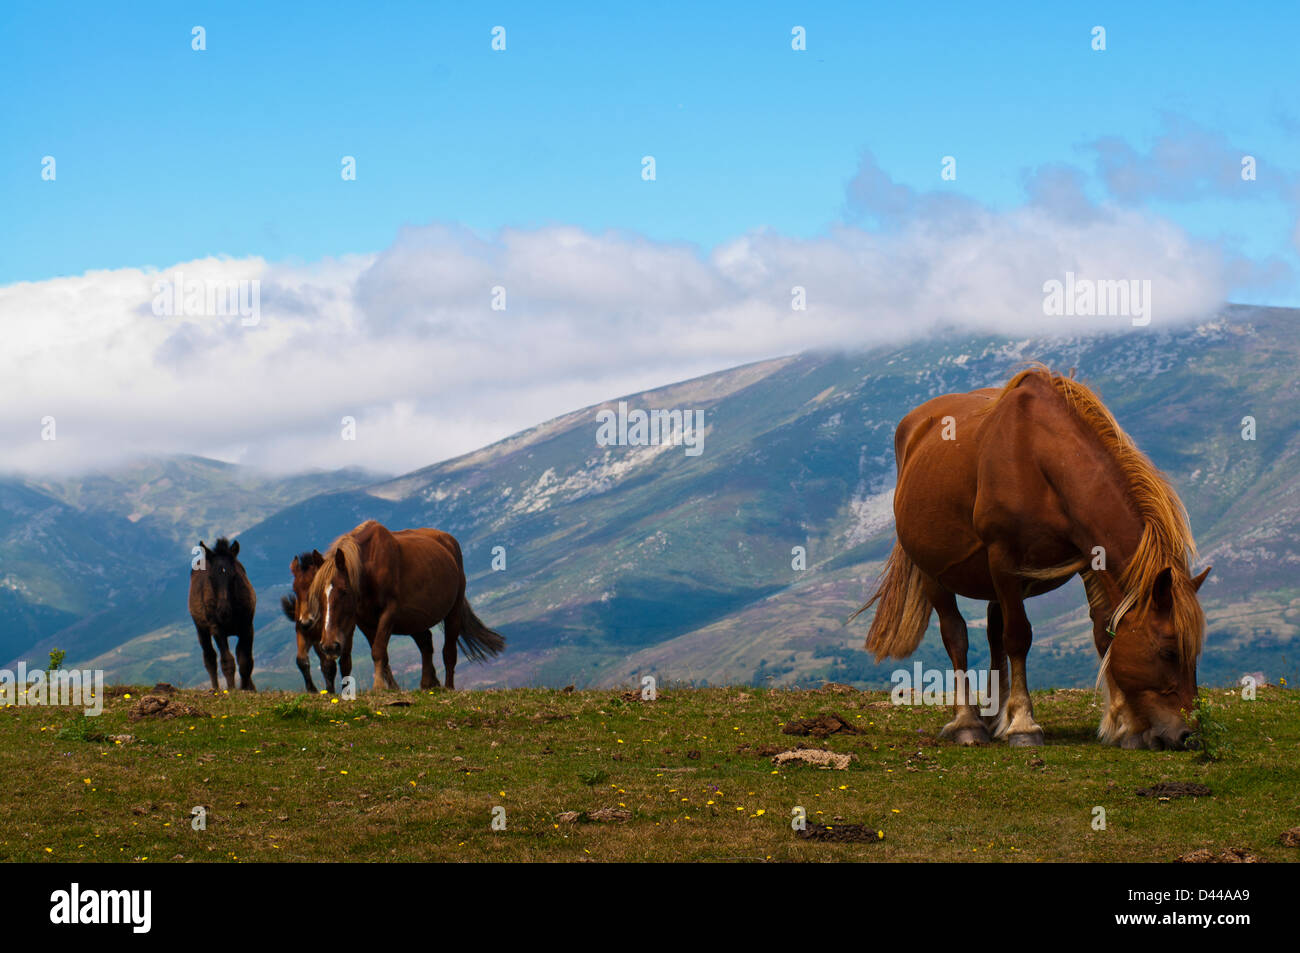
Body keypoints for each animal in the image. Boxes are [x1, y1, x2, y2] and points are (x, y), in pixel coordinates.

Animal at [188, 535, 256, 691]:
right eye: (211, 577)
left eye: (234, 576)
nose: (223, 611)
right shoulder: (217, 629)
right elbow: (227, 661)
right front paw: (231, 689)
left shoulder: (247, 627)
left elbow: (246, 661)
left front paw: (247, 689)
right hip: (201, 629)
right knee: (209, 657)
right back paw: (215, 688)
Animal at [304, 520, 506, 691]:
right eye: (319, 596)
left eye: (344, 591)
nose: (329, 646)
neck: (371, 567)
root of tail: (449, 543)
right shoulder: (363, 621)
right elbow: (379, 654)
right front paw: (392, 688)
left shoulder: (389, 613)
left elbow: (378, 650)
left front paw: (379, 687)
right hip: (415, 621)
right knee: (426, 644)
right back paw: (427, 683)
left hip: (453, 613)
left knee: (448, 652)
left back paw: (448, 687)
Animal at [852, 369, 1206, 748]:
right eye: (1168, 651)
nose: (1188, 734)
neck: (1040, 458)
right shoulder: (1003, 557)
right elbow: (1018, 637)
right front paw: (1023, 724)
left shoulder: (1089, 559)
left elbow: (1103, 631)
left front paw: (1125, 725)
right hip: (934, 572)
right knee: (956, 635)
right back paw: (968, 722)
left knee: (994, 632)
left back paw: (995, 717)